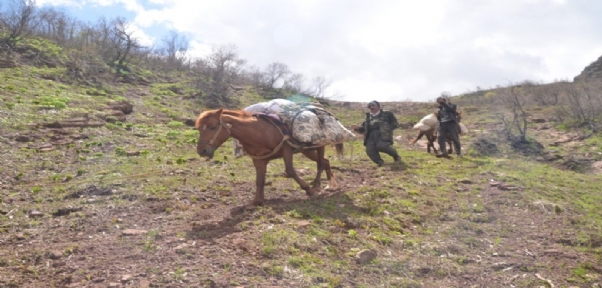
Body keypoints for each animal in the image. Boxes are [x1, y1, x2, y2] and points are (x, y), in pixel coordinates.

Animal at [196, 107, 340, 205]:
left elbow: (290, 171)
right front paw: (257, 201)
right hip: (307, 150)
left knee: (321, 162)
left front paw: (309, 191)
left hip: (319, 145)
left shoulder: (286, 149)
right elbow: (259, 180)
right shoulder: (259, 159)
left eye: (213, 127)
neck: (258, 132)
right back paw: (329, 185)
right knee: (325, 161)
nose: (202, 151)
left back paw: (317, 185)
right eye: (198, 129)